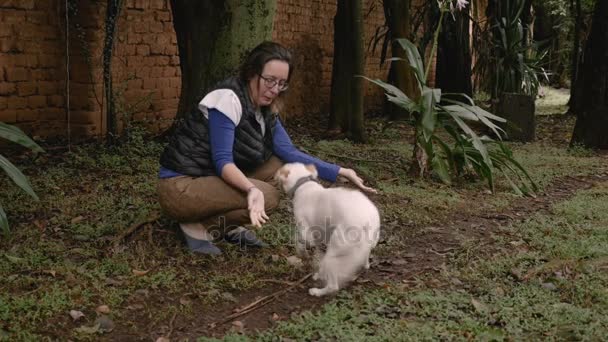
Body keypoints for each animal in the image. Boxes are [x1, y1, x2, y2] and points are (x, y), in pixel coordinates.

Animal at [276, 163, 380, 296]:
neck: (304, 184)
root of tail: (370, 221)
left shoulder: (305, 230)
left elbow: (299, 240)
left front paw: (301, 252)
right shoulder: (320, 232)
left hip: (333, 254)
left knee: (333, 286)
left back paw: (317, 292)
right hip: (363, 247)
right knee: (365, 262)